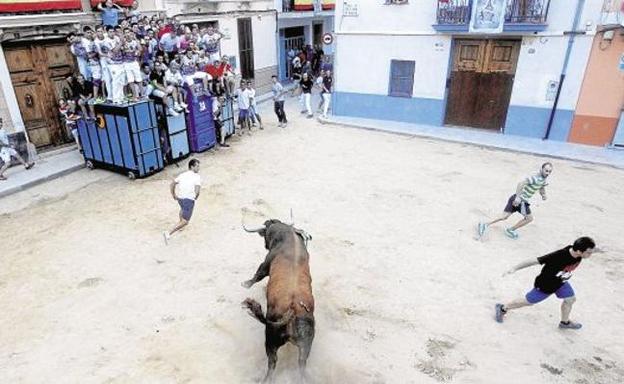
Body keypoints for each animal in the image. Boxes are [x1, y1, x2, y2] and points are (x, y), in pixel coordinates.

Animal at [241, 220, 314, 382]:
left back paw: (265, 380)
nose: (265, 245)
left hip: (270, 340)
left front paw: (246, 284)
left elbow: (258, 275)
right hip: (306, 345)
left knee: (272, 363)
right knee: (302, 365)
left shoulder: (265, 264)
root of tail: (293, 310)